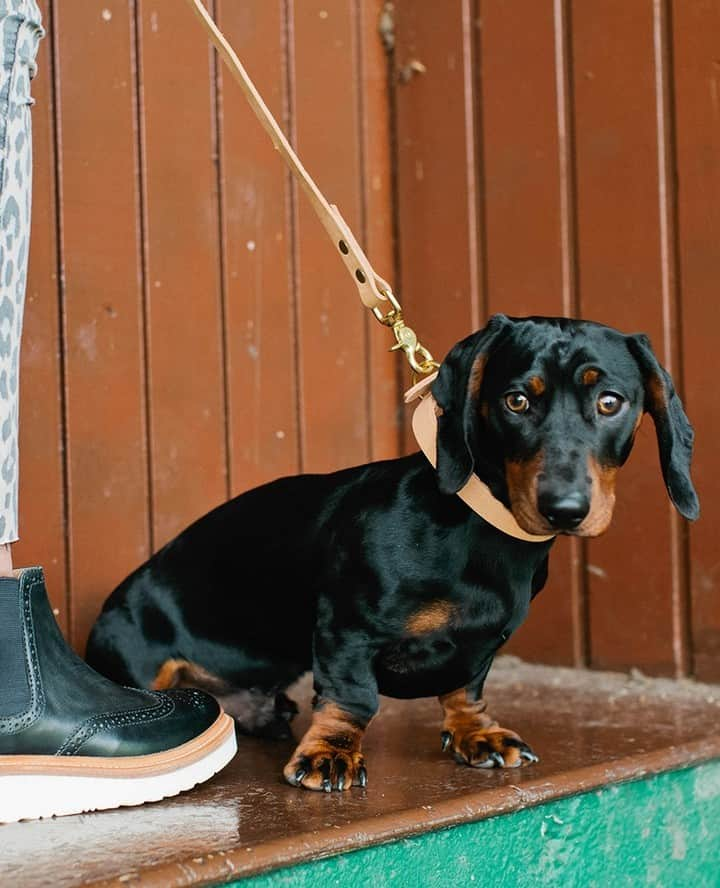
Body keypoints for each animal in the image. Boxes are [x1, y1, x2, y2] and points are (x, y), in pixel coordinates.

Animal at [84, 318, 696, 792]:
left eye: (610, 402)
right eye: (517, 400)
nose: (564, 509)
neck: (479, 535)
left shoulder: (482, 646)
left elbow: (466, 687)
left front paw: (476, 733)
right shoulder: (346, 629)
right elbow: (353, 698)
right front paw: (330, 753)